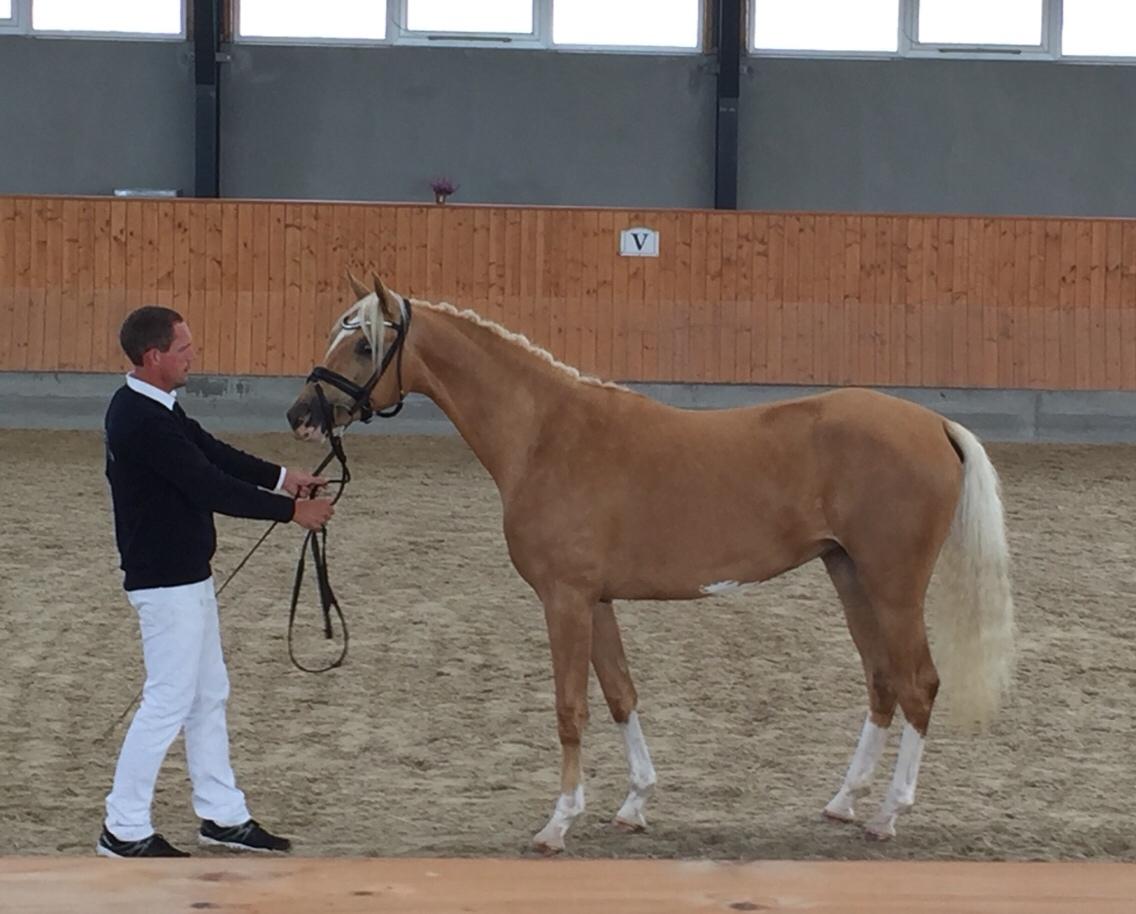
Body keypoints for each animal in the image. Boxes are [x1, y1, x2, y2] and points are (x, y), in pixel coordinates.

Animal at [288, 274, 1017, 853]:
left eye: (364, 343)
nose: (302, 414)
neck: (546, 434)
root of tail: (933, 425)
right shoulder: (596, 599)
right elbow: (620, 694)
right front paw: (634, 803)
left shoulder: (564, 598)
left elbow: (571, 707)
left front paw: (557, 823)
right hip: (850, 576)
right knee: (882, 680)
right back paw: (843, 801)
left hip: (893, 586)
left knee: (919, 684)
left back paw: (888, 815)